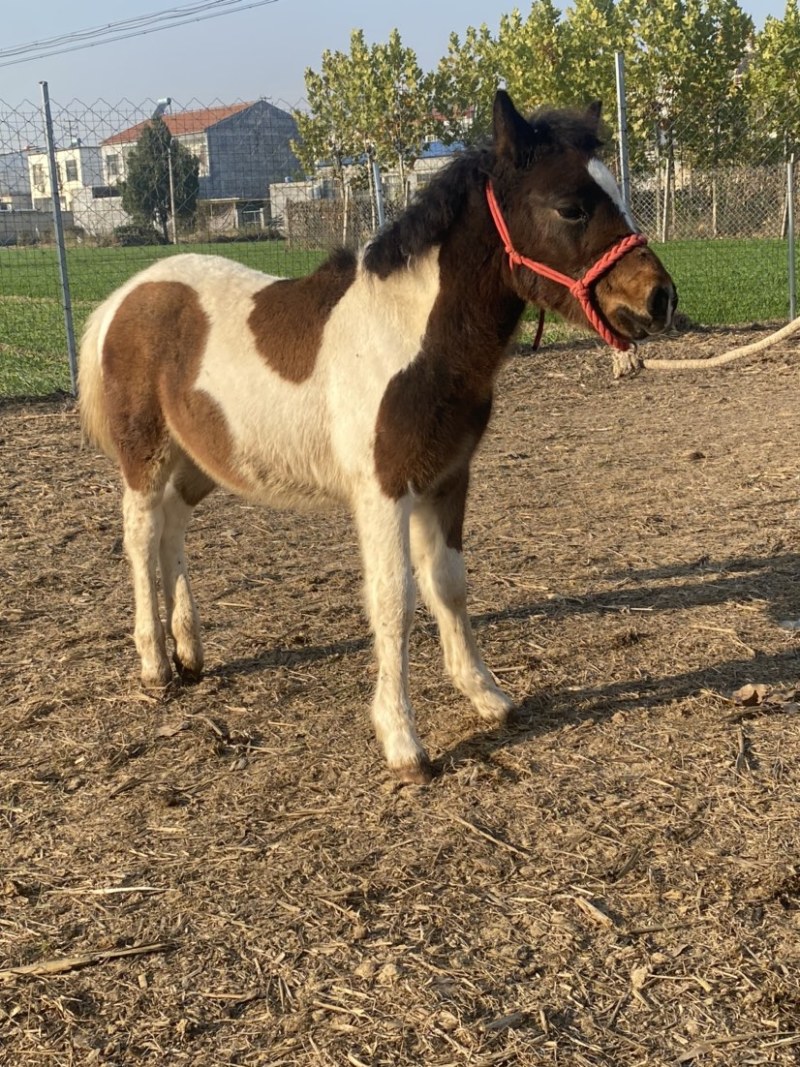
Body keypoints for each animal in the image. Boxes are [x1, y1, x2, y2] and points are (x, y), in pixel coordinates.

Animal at [78, 90, 676, 784]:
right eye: (571, 206)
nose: (660, 298)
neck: (409, 337)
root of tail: (124, 295)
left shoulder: (447, 478)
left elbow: (449, 583)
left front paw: (485, 695)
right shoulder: (384, 492)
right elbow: (394, 600)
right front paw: (402, 741)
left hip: (202, 458)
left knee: (173, 524)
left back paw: (190, 650)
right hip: (144, 455)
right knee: (141, 533)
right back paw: (155, 663)